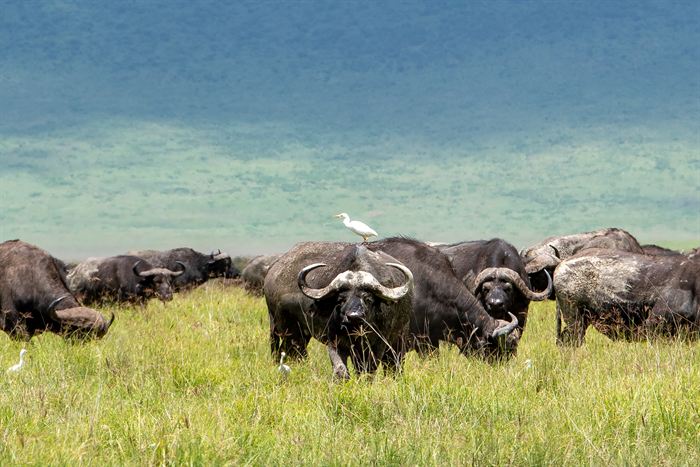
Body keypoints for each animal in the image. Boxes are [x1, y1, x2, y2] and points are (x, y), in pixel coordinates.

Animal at [265, 243, 413, 379]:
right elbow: (340, 369)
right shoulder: (335, 342)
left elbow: (369, 369)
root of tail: (272, 271)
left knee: (394, 364)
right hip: (289, 332)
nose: (354, 316)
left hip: (399, 339)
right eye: (341, 299)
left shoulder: (378, 344)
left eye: (368, 299)